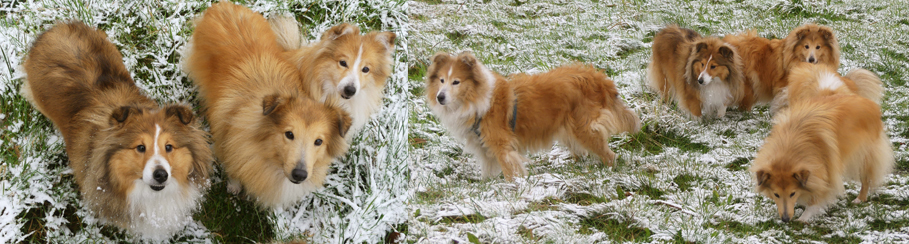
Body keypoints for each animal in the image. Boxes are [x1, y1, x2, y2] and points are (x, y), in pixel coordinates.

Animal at [184, 1, 352, 208]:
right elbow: (233, 169)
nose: (300, 175)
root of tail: (223, 5)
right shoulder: (227, 143)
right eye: (289, 134)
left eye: (318, 141)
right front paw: (234, 185)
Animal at [424, 52, 640, 181]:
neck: (478, 100)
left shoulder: (502, 146)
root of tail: (598, 78)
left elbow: (509, 168)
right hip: (569, 132)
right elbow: (487, 172)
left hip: (584, 129)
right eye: (441, 80)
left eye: (456, 82)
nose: (440, 97)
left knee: (609, 155)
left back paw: (609, 170)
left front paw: (512, 186)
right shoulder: (484, 148)